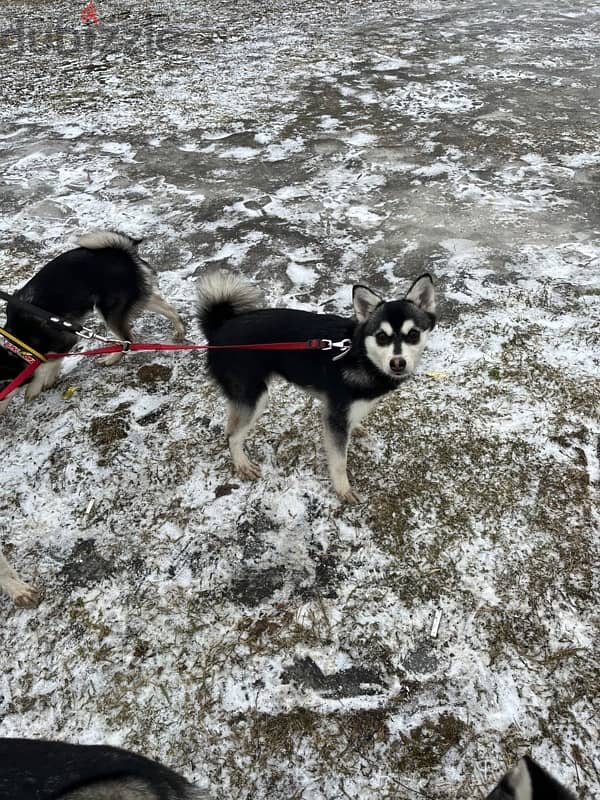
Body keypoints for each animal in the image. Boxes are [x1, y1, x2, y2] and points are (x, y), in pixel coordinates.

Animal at [0, 228, 185, 410]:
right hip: (136, 297)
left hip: (110, 310)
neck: (18, 341)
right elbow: (53, 361)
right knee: (169, 308)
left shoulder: (67, 339)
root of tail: (124, 252)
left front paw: (34, 387)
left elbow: (45, 364)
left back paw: (112, 358)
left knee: (128, 339)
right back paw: (180, 330)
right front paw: (49, 379)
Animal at [197, 272, 436, 504]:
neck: (360, 355)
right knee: (233, 436)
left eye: (413, 334)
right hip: (256, 395)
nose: (398, 363)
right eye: (382, 337)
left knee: (231, 424)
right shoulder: (334, 418)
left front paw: (356, 428)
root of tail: (219, 329)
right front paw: (343, 490)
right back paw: (242, 464)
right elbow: (339, 462)